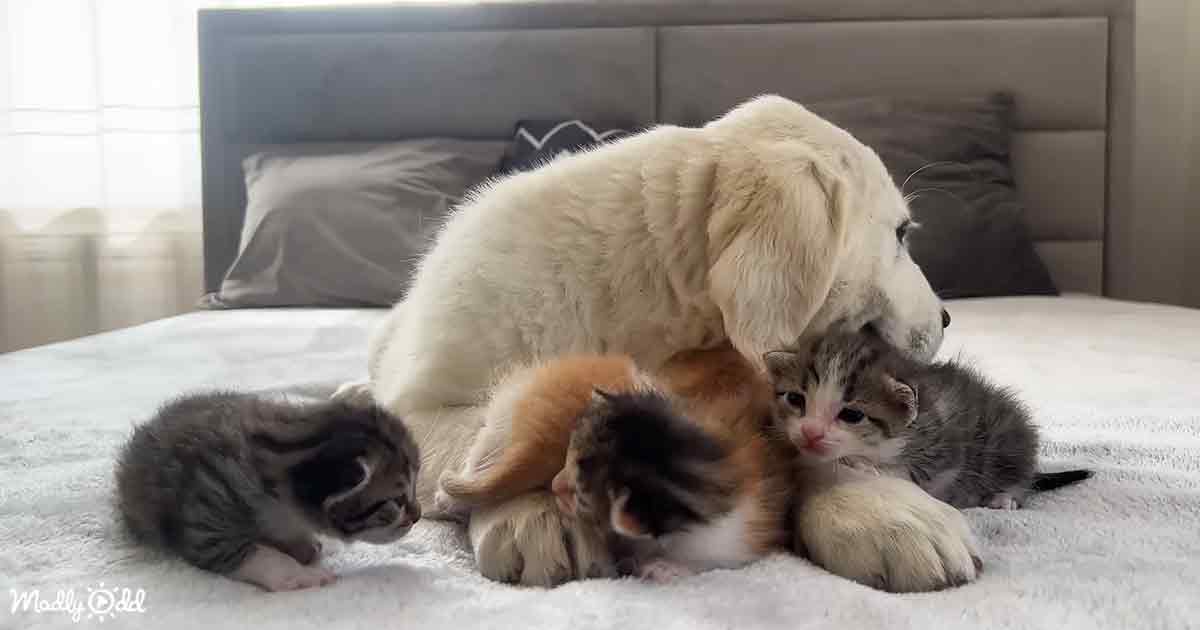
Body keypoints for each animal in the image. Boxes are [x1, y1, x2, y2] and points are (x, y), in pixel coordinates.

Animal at [113, 391, 422, 592]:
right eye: (396, 501)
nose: (418, 515)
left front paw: (303, 545)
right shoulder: (203, 515)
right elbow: (249, 552)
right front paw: (298, 573)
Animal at [763, 331, 1094, 508]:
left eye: (852, 415)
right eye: (795, 399)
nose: (811, 432)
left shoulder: (947, 448)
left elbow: (916, 474)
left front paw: (867, 466)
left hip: (1008, 442)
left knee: (1019, 475)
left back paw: (1005, 497)